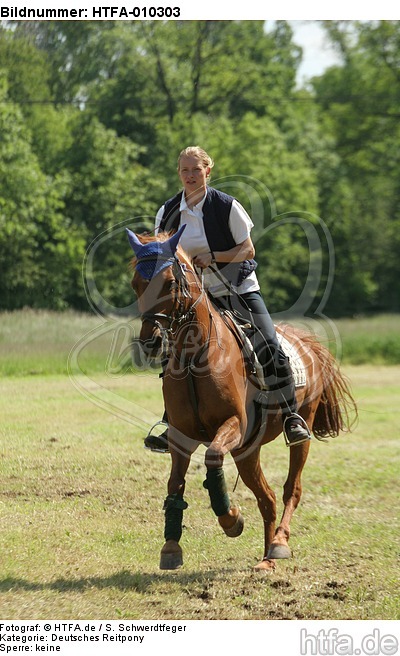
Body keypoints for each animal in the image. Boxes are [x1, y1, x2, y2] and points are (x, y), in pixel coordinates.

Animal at [126, 224, 354, 568]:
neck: (195, 359)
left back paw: (279, 544)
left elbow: (212, 457)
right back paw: (266, 558)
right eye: (136, 284)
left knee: (291, 489)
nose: (150, 342)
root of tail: (308, 343)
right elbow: (175, 484)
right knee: (267, 498)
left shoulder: (233, 425)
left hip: (294, 432)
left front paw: (230, 519)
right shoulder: (180, 436)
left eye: (169, 283)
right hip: (248, 450)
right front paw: (171, 546)